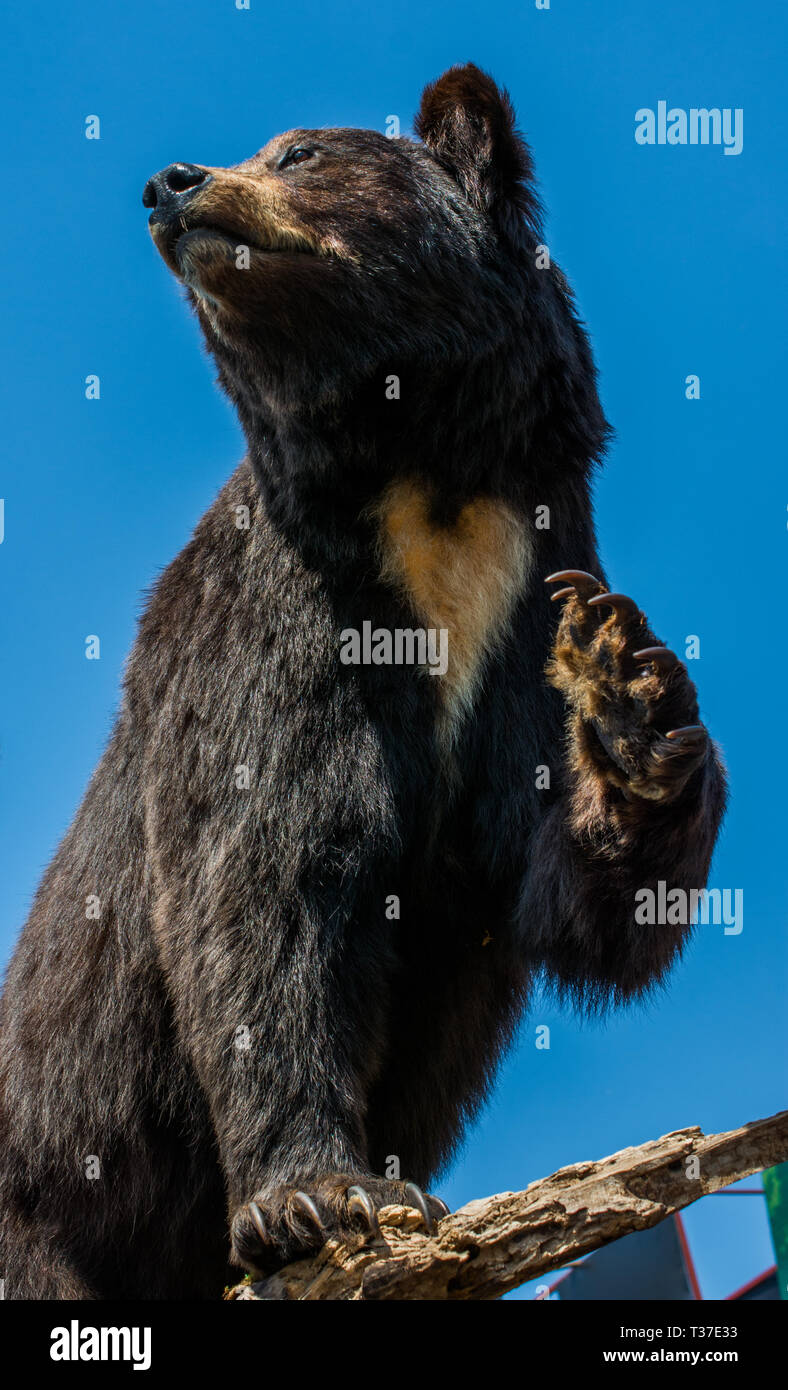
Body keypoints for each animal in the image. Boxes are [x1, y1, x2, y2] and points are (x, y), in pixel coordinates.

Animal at [0, 63, 726, 1299]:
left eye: (300, 153)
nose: (170, 183)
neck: (423, 483)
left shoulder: (518, 606)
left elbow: (565, 886)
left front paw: (629, 698)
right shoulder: (275, 617)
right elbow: (266, 877)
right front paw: (318, 1197)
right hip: (40, 1200)